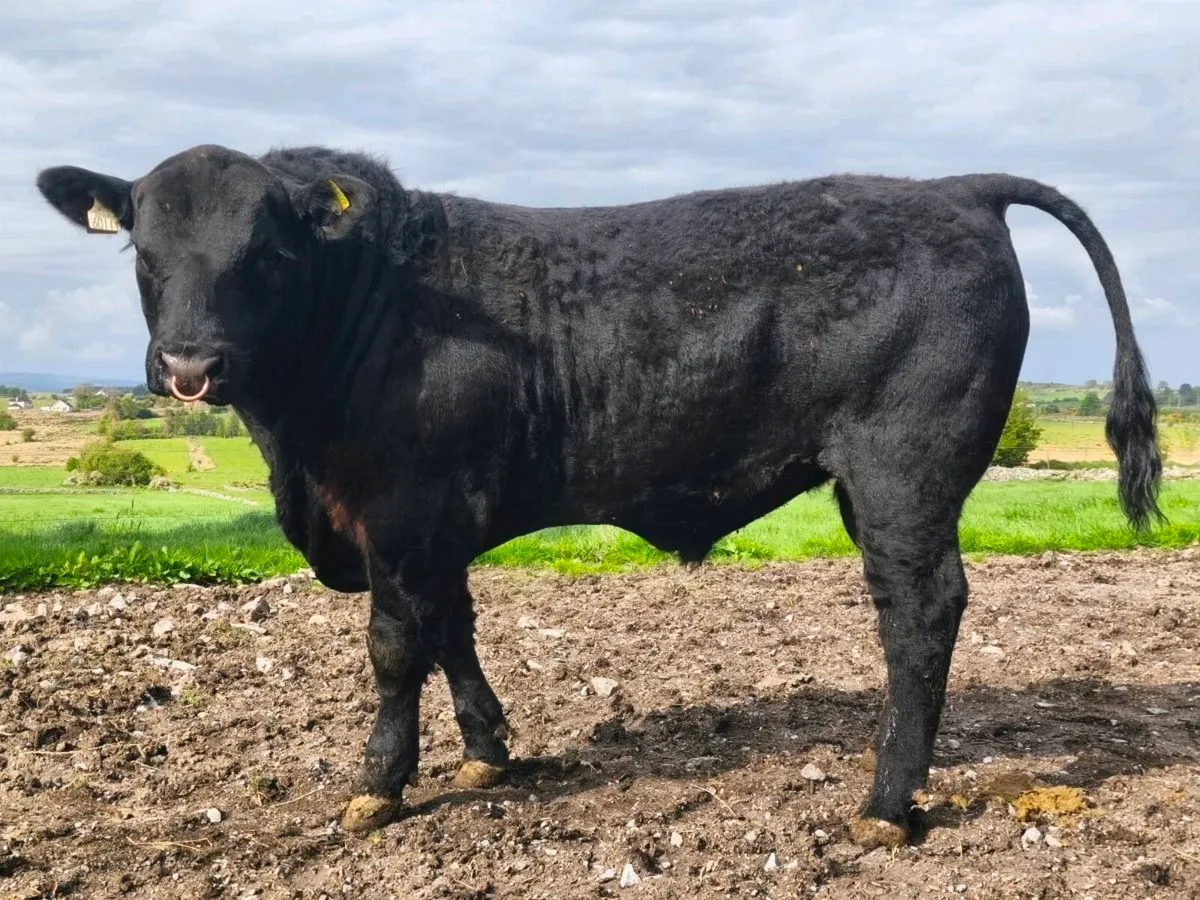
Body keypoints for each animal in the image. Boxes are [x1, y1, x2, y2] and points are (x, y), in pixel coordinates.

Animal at [36, 144, 1162, 849]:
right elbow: (453, 629)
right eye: (142, 252)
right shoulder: (436, 527)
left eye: (265, 253)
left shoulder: (399, 513)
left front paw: (378, 787)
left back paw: (887, 805)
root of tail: (955, 189)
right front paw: (488, 754)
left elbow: (396, 650)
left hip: (902, 473)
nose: (190, 365)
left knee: (920, 614)